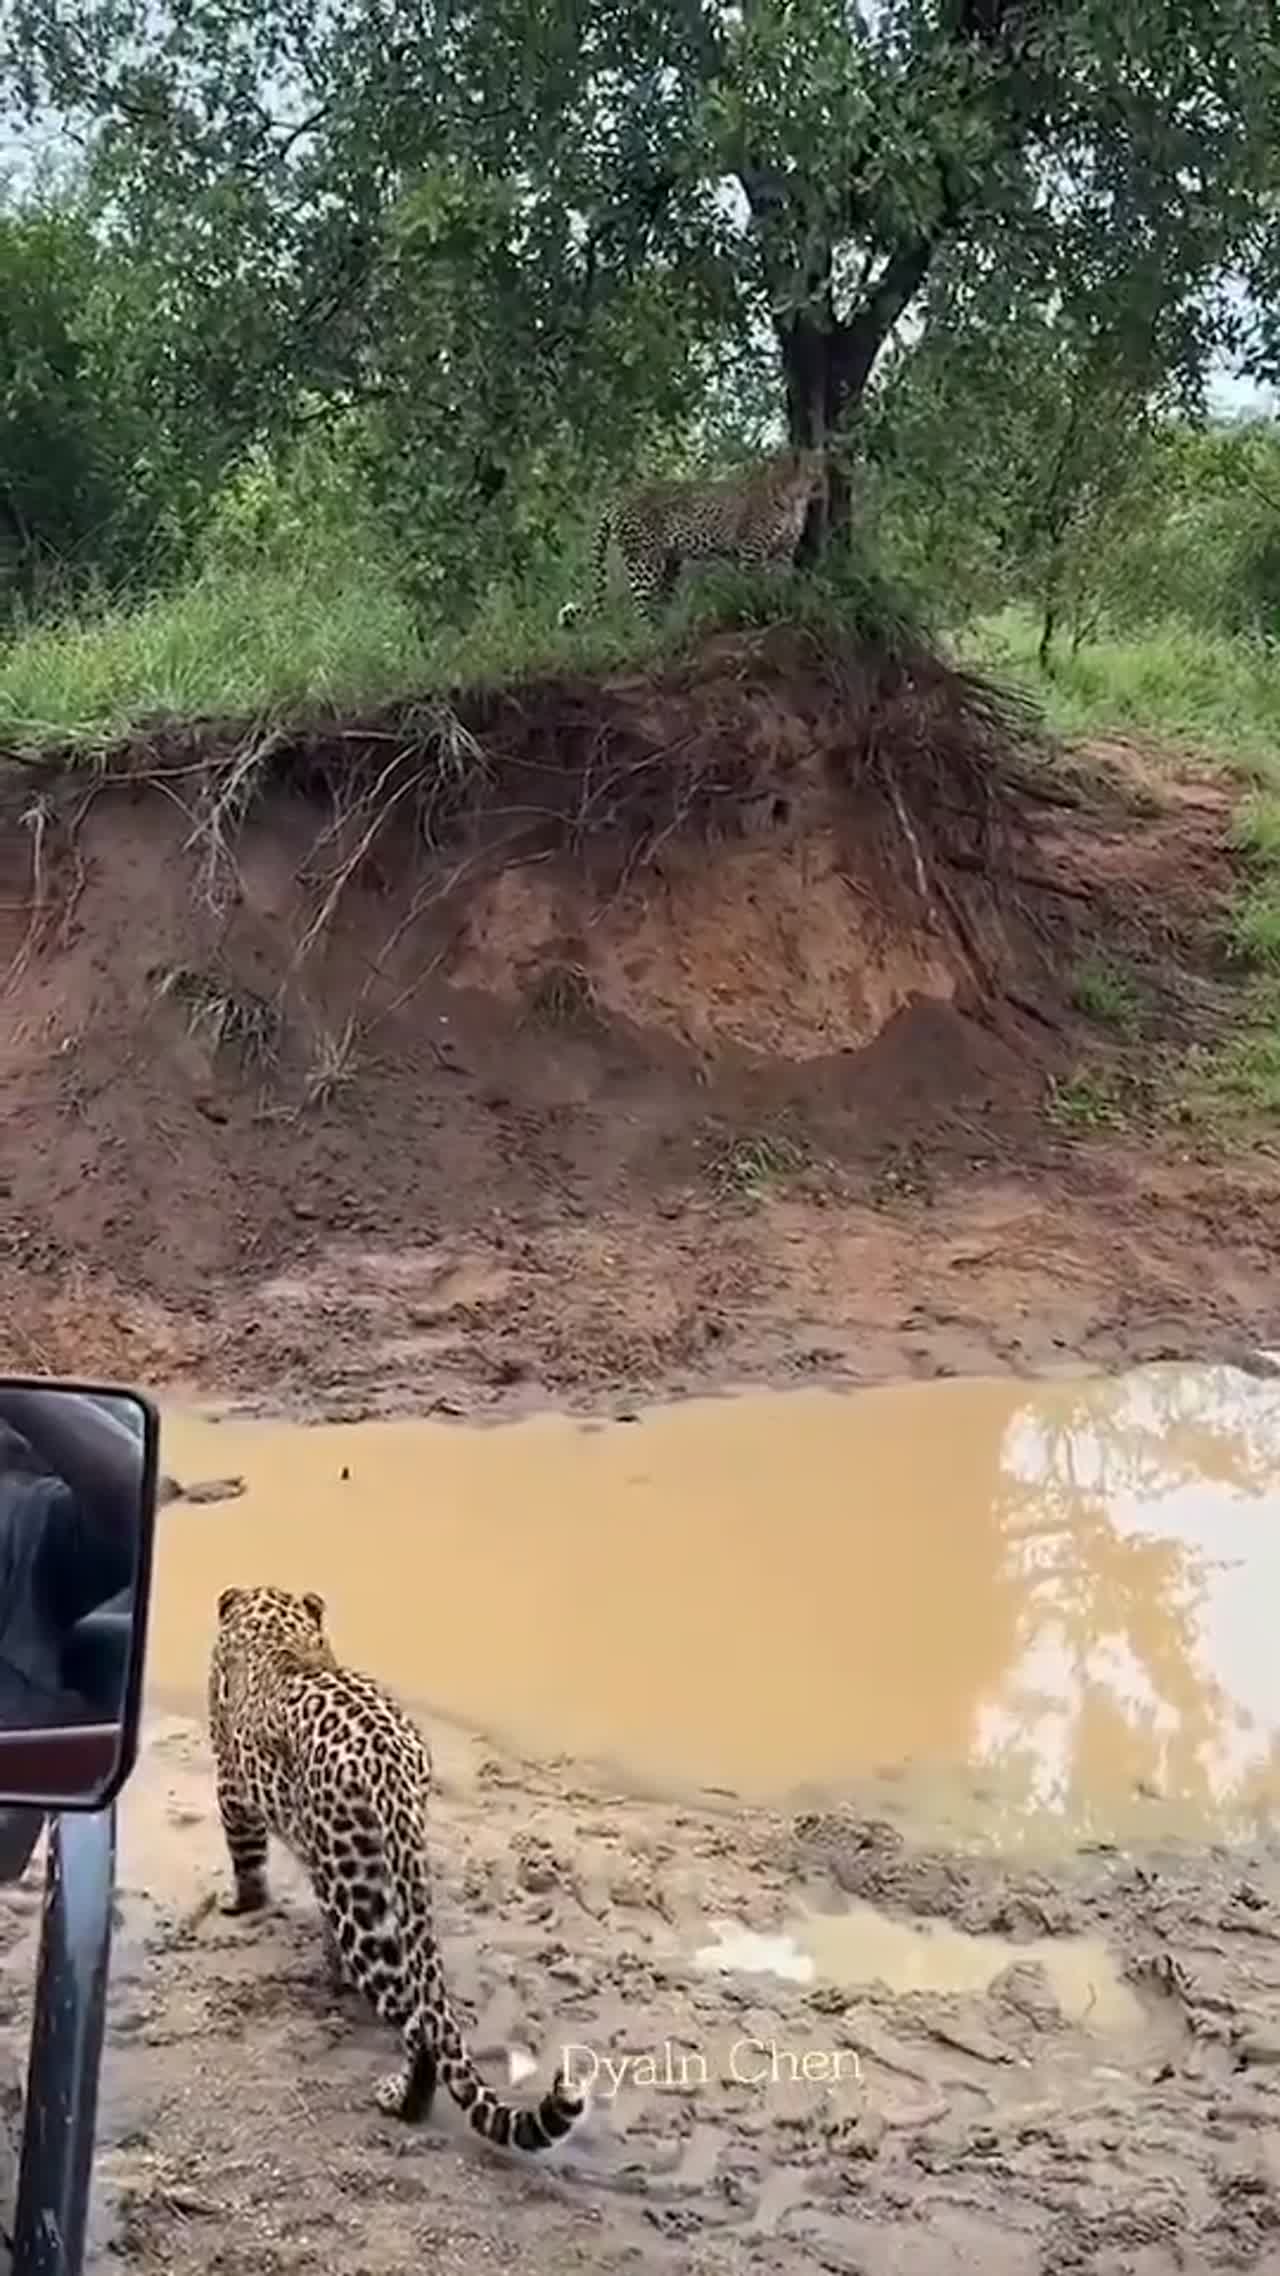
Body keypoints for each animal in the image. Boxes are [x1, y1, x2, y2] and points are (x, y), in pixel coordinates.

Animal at [208, 1583, 588, 2153]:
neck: (275, 1621)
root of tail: (387, 1758)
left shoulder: (232, 1790)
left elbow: (246, 1863)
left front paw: (239, 1905)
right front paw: (329, 1971)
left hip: (354, 1893)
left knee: (416, 2023)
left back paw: (402, 2101)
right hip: (374, 1871)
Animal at [558, 445, 825, 626]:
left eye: (820, 468)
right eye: (814, 471)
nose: (824, 483)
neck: (794, 497)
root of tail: (618, 497)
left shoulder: (783, 552)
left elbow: (781, 582)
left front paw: (782, 607)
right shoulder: (752, 550)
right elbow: (753, 585)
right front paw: (757, 610)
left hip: (670, 563)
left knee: (659, 601)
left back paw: (664, 631)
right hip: (644, 560)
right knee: (641, 606)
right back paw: (650, 638)